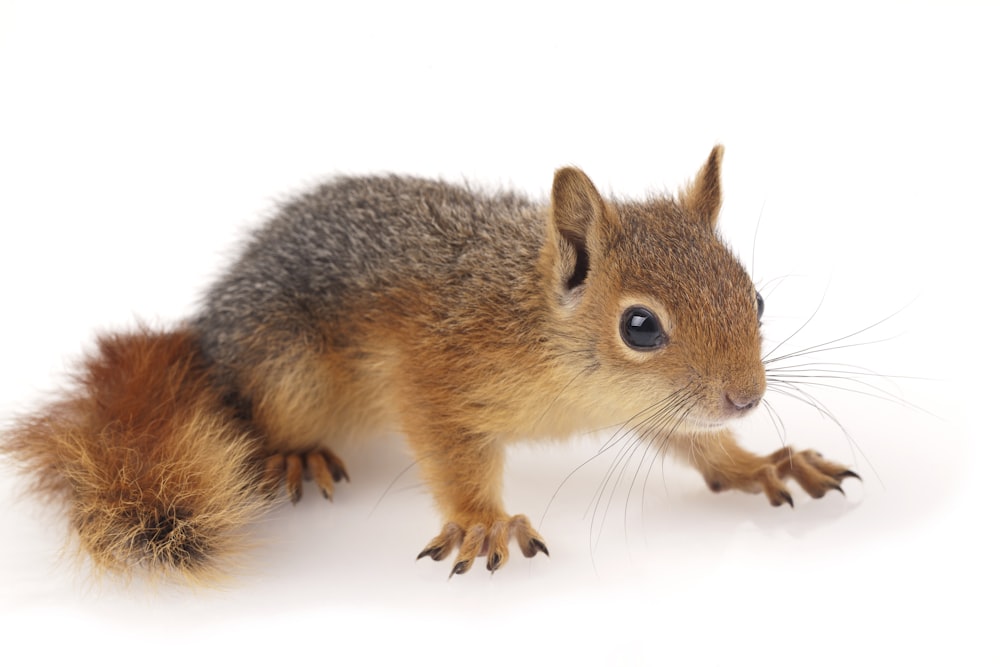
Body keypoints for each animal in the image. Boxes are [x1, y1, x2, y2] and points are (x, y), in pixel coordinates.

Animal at [0, 147, 860, 584]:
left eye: (754, 297)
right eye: (641, 326)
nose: (745, 396)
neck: (538, 323)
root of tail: (208, 332)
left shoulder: (653, 405)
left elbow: (695, 444)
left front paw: (760, 462)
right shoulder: (433, 371)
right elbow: (449, 450)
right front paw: (481, 520)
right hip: (286, 367)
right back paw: (294, 452)